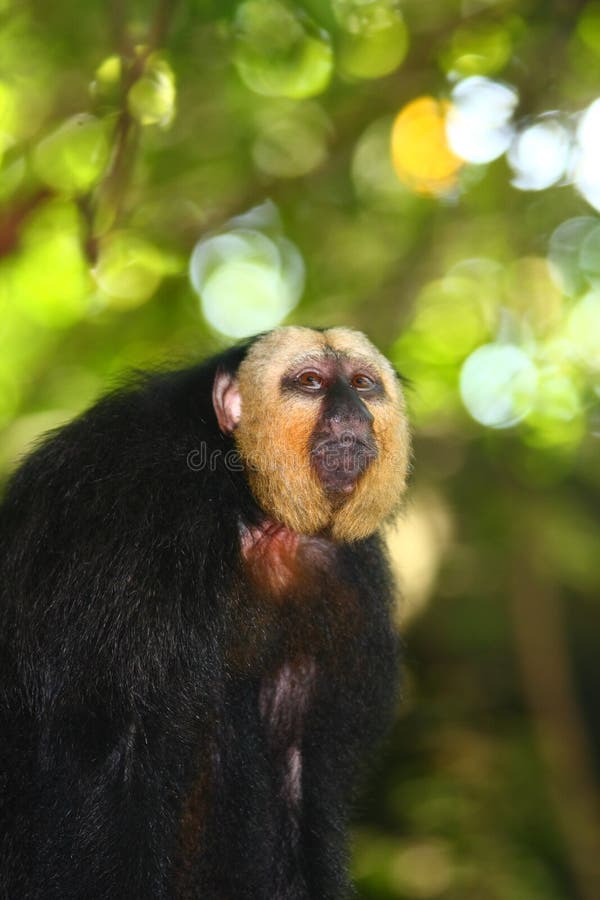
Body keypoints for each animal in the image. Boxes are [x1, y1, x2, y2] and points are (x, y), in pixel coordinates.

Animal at [0, 325, 410, 900]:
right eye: (311, 382)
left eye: (361, 384)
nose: (353, 414)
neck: (250, 510)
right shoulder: (132, 521)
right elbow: (116, 758)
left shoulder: (342, 578)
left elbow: (300, 772)